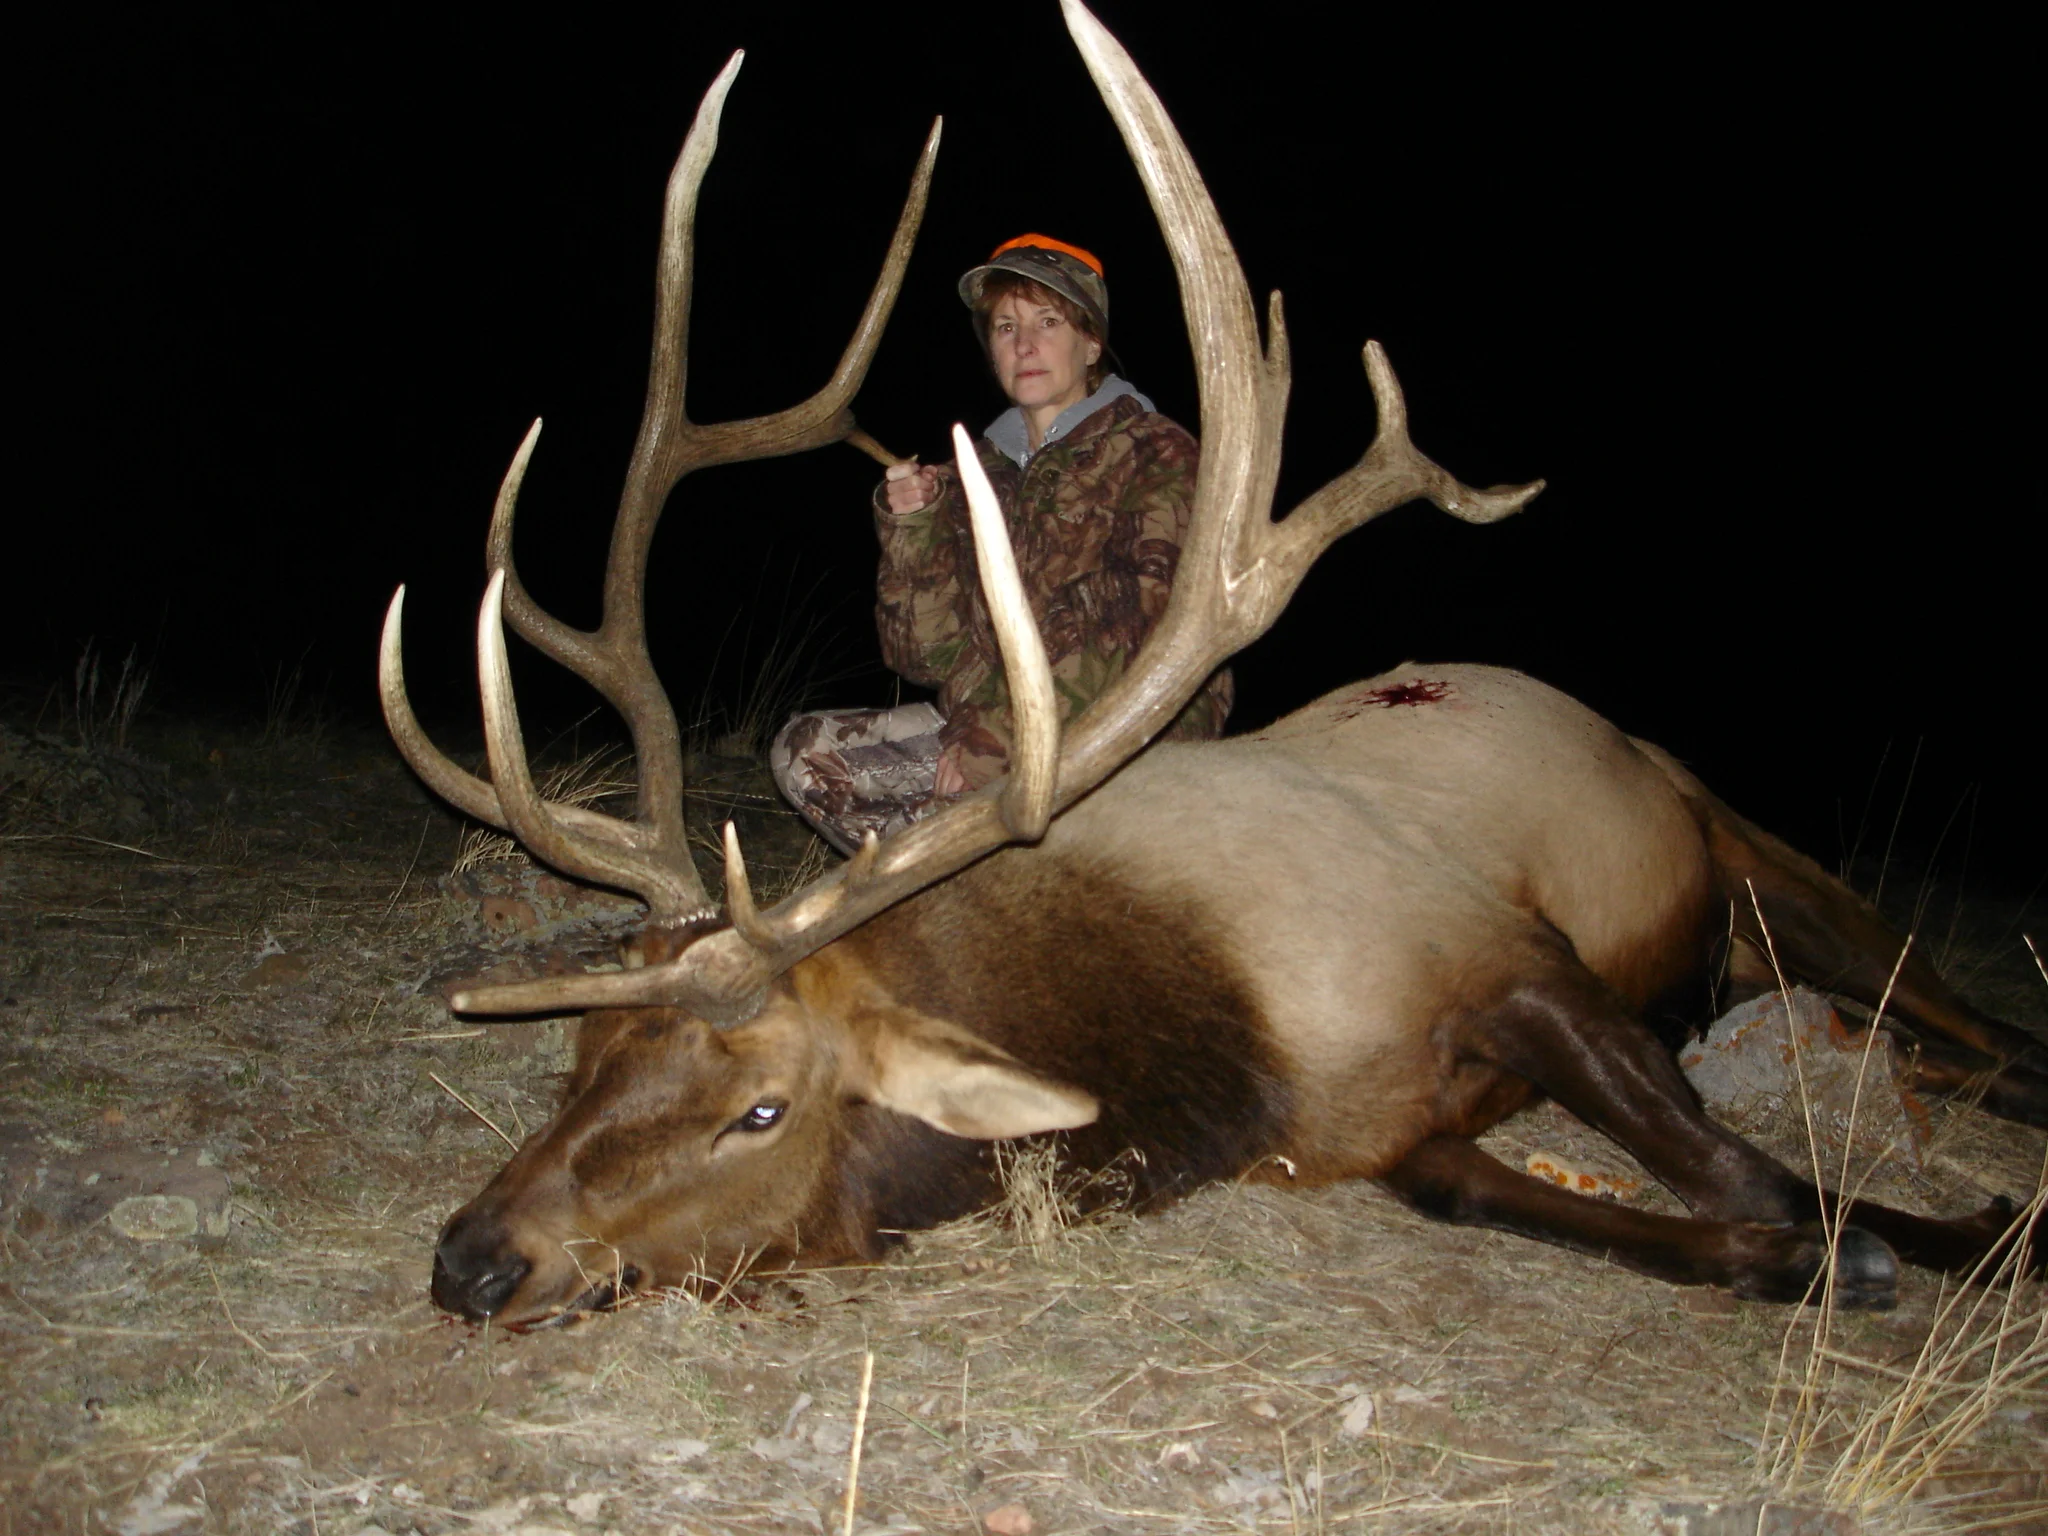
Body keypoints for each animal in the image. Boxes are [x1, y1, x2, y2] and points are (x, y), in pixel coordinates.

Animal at [379, 1, 2044, 1328]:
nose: (471, 1260)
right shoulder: (1392, 1133)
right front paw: (1854, 1253)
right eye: (583, 1053)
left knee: (1974, 1020)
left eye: (760, 1108)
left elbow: (1744, 1168)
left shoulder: (1513, 959)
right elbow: (1609, 1203)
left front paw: (1956, 1231)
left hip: (1757, 854)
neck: (1214, 1046)